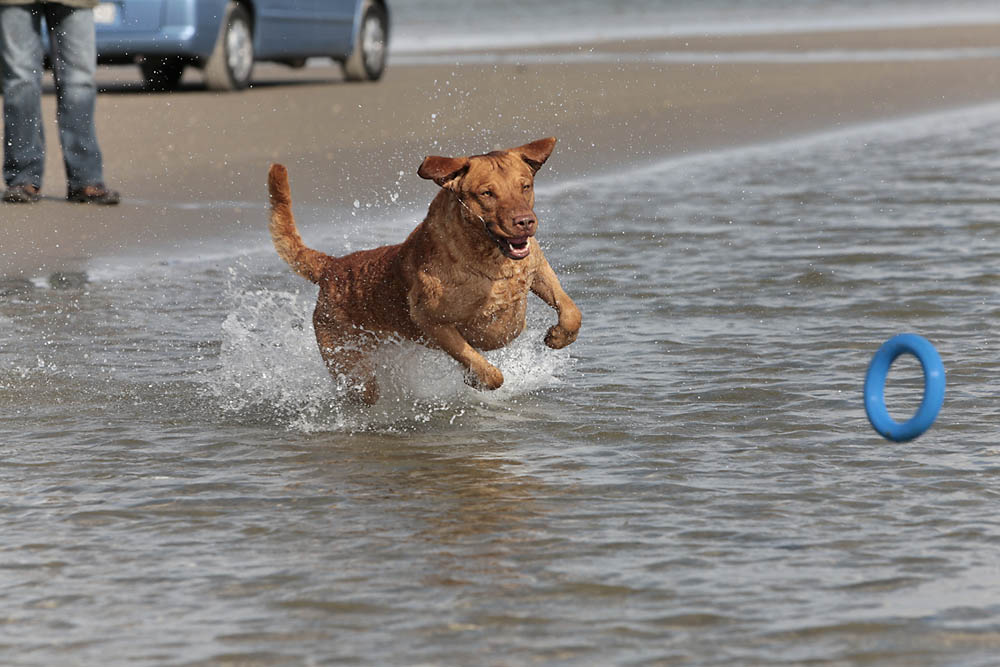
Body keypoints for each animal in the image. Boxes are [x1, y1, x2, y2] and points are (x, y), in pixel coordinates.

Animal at [268, 138, 580, 404]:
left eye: (525, 186)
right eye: (487, 193)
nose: (525, 222)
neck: (488, 256)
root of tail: (332, 266)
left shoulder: (538, 269)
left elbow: (570, 311)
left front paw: (558, 336)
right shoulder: (429, 319)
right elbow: (485, 367)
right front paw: (475, 377)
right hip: (348, 361)